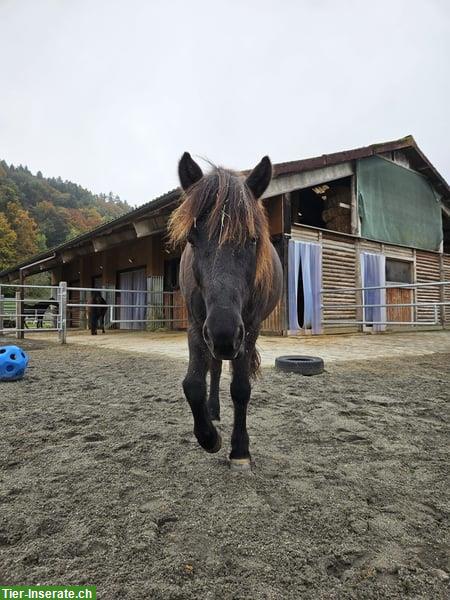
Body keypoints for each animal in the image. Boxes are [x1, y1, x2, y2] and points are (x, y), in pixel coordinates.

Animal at [169, 152, 282, 472]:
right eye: (192, 239)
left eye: (253, 239)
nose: (223, 332)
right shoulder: (198, 326)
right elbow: (193, 383)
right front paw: (209, 437)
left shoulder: (249, 330)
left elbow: (241, 389)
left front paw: (240, 450)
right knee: (216, 368)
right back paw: (213, 411)